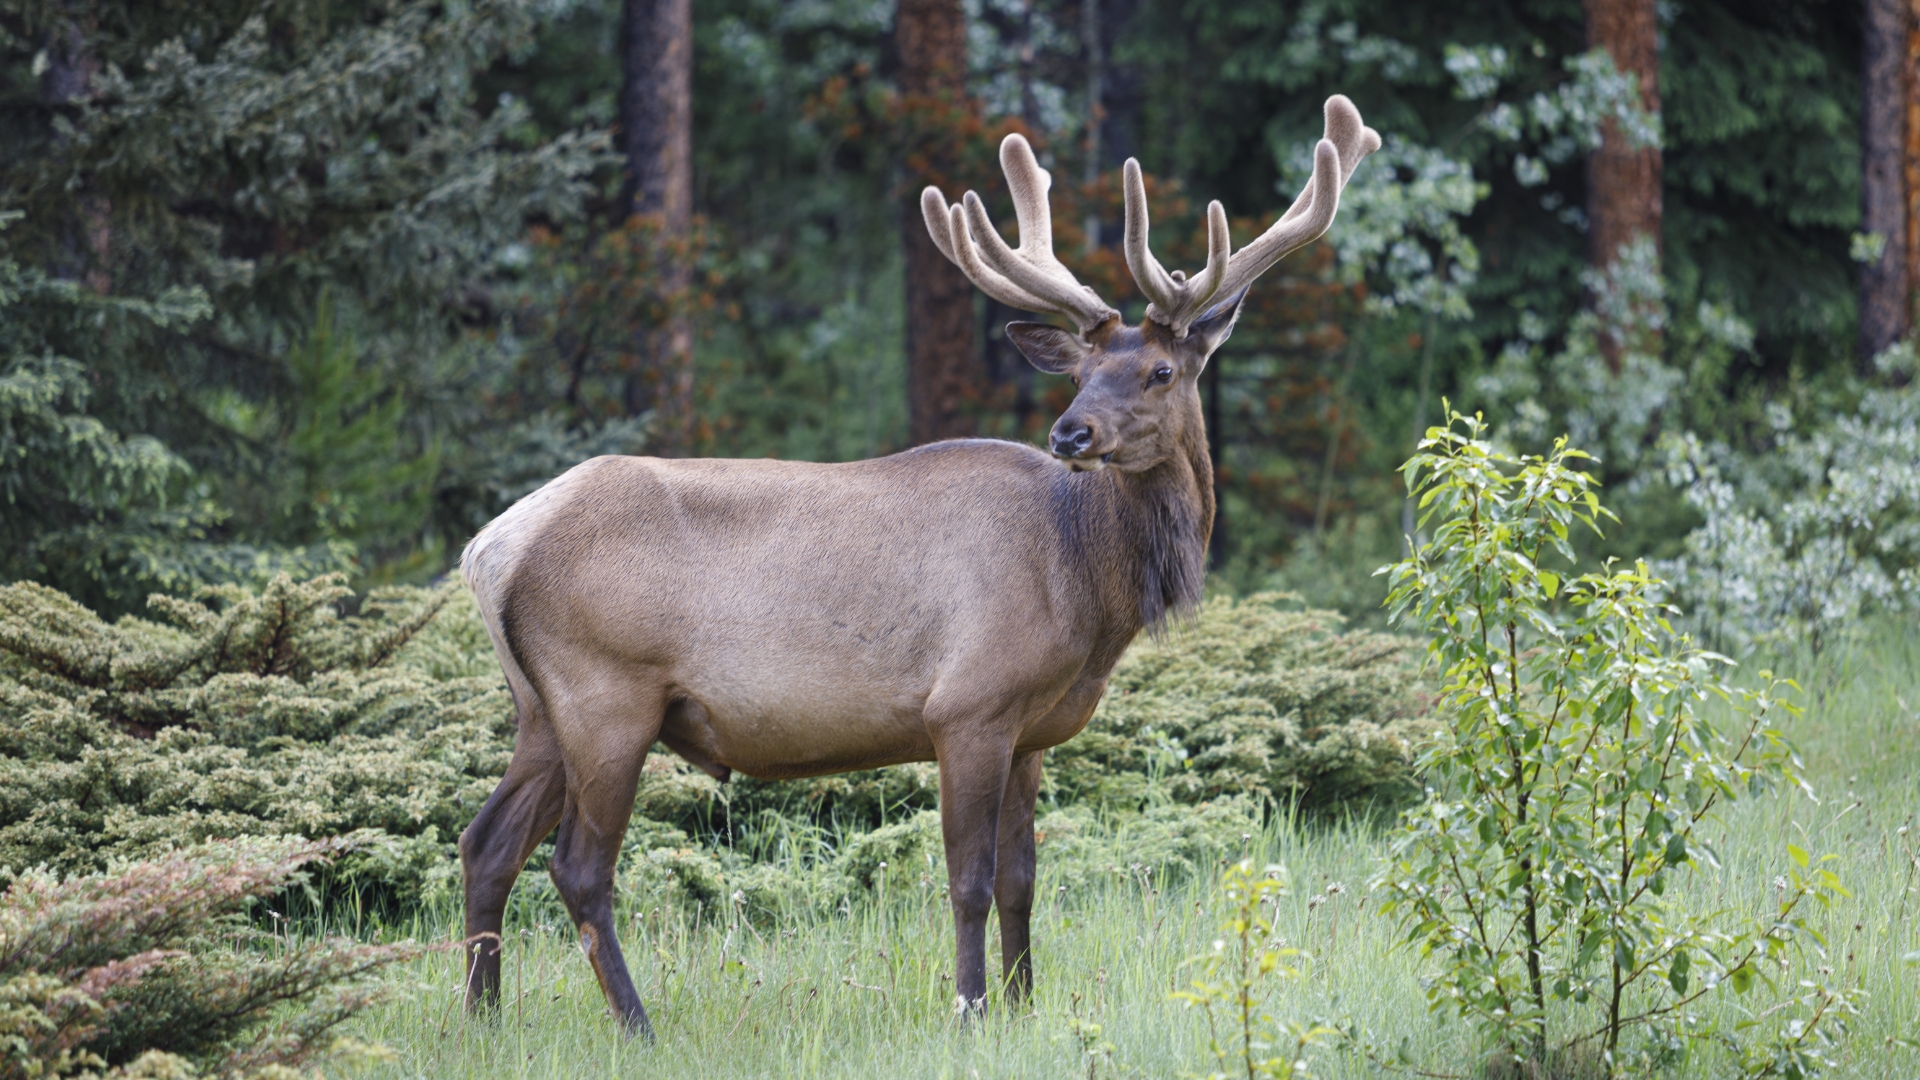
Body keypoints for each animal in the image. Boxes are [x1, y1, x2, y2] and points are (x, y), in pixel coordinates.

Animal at [456, 95, 1379, 1037]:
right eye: (1081, 372)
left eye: (1160, 370)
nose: (1070, 433)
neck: (1085, 585)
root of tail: (489, 549)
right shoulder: (967, 706)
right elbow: (968, 880)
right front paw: (971, 1008)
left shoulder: (1031, 729)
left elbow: (1022, 878)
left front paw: (1023, 1003)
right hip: (608, 693)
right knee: (579, 866)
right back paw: (636, 1025)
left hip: (541, 709)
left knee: (486, 842)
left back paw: (484, 1017)